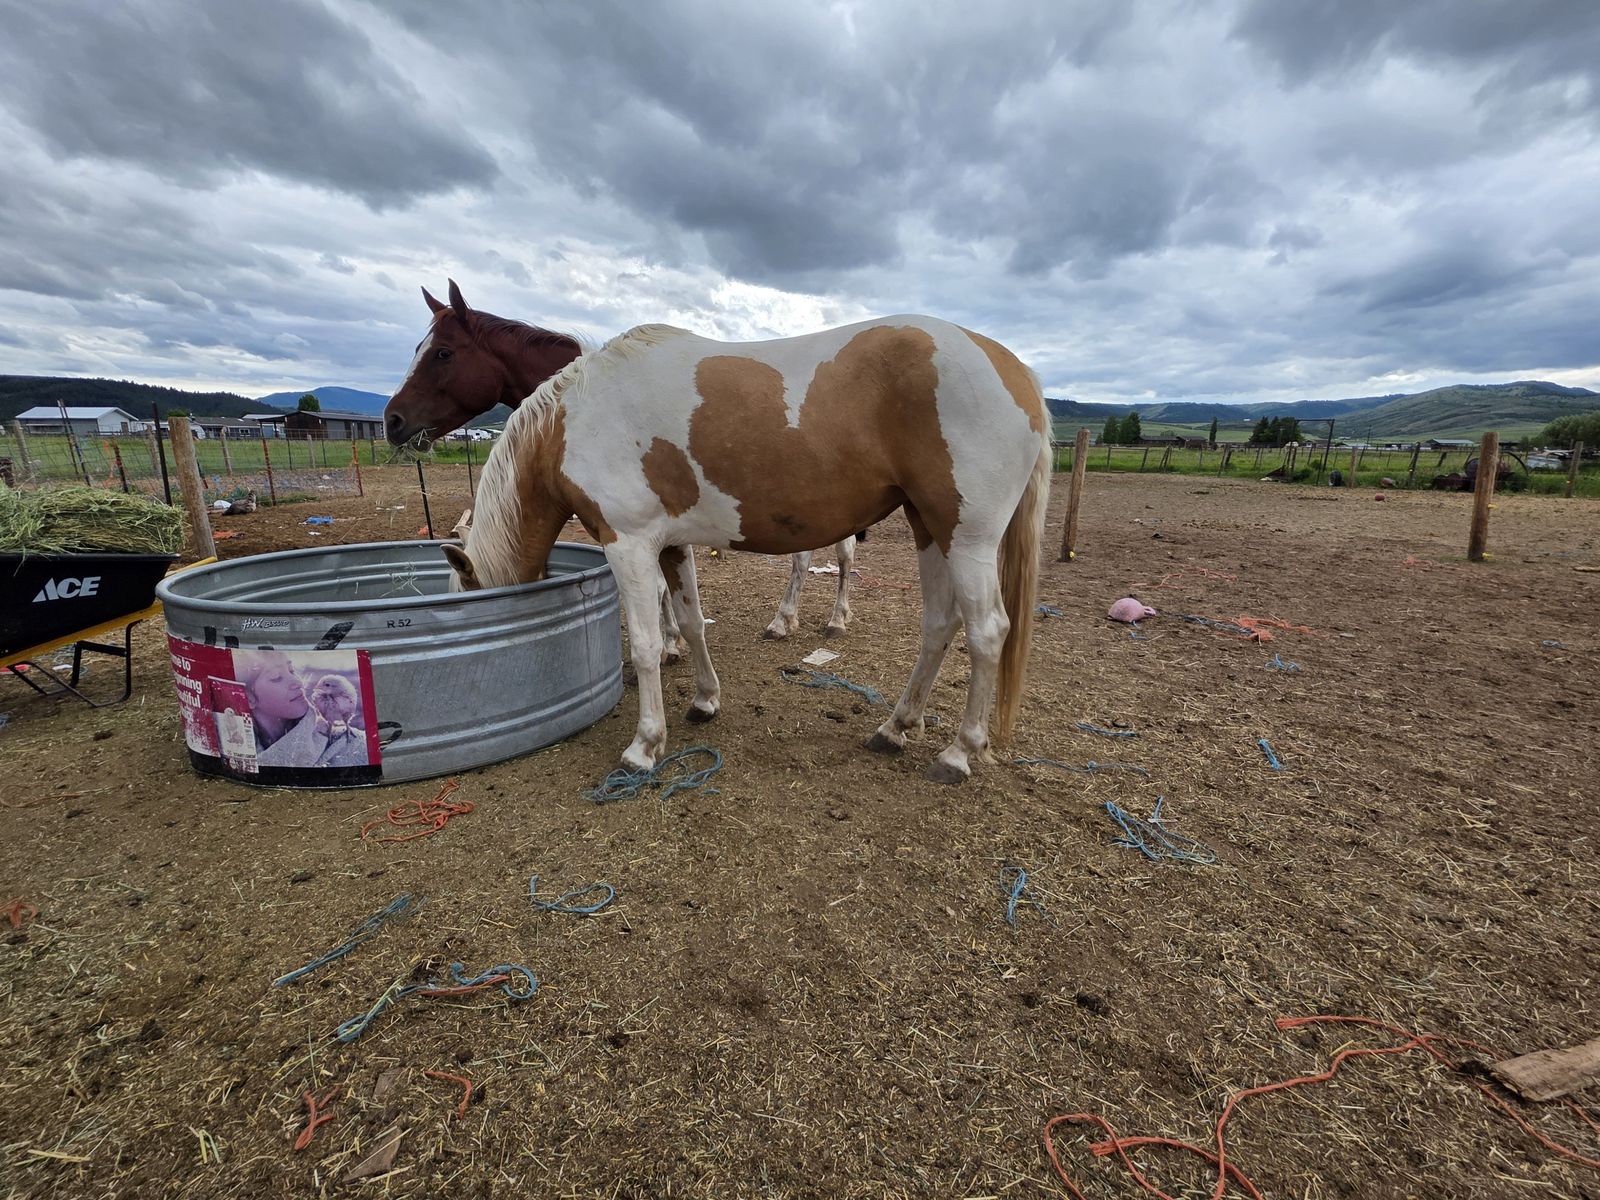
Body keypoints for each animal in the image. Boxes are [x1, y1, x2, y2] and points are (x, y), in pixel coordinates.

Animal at [384, 281, 862, 645]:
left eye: (442, 353)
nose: (392, 420)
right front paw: (672, 639)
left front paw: (669, 644)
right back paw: (789, 619)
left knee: (838, 555)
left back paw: (829, 618)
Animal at [440, 309, 1051, 784]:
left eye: (442, 351)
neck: (574, 421)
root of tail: (1013, 368)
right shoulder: (670, 546)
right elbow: (689, 623)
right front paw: (704, 701)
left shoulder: (628, 545)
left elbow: (644, 644)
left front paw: (644, 745)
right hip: (931, 529)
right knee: (939, 625)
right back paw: (896, 726)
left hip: (967, 538)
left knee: (987, 631)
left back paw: (958, 752)